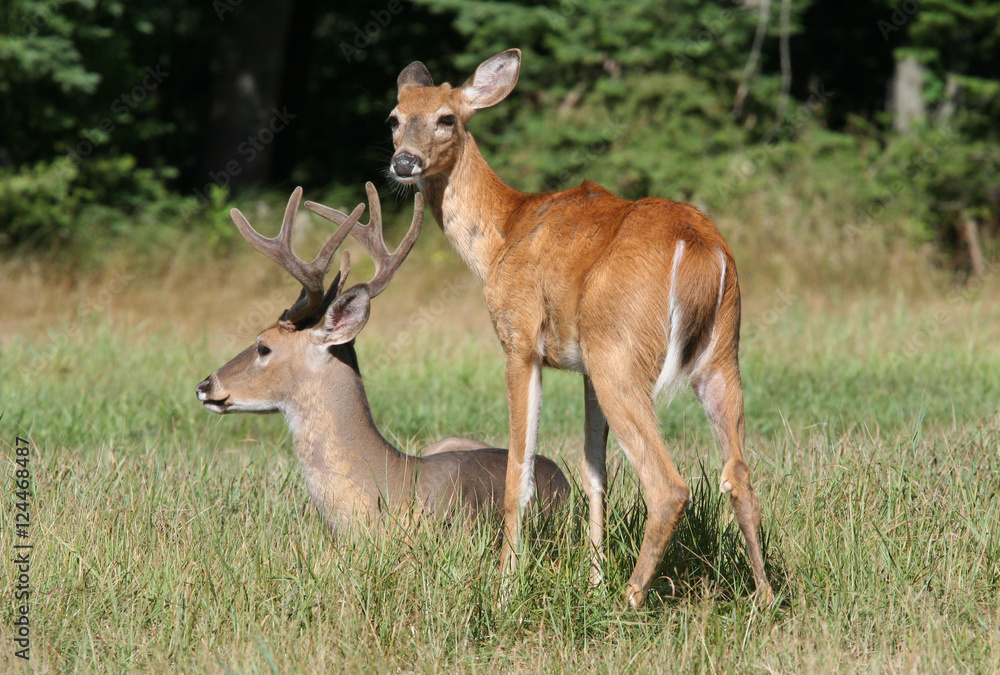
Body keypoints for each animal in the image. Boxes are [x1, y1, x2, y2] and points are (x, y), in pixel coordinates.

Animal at [371, 48, 774, 608]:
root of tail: (700, 249)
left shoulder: (519, 339)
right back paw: (765, 598)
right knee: (739, 475)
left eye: (446, 118)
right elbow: (593, 471)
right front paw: (592, 577)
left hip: (621, 351)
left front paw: (506, 588)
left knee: (668, 486)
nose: (403, 163)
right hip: (718, 354)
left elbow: (518, 474)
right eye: (393, 118)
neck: (501, 236)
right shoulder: (582, 366)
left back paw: (628, 602)